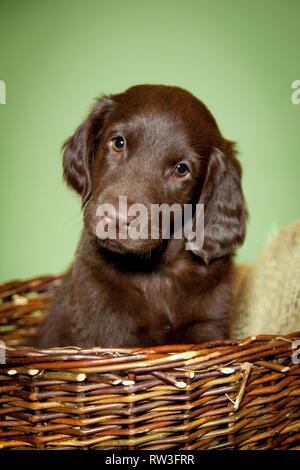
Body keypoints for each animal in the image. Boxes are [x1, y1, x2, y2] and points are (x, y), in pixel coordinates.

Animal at [35, 85, 247, 348]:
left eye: (181, 169)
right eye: (118, 142)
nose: (117, 218)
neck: (157, 273)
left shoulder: (209, 324)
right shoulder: (109, 326)